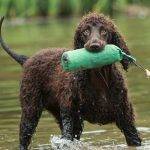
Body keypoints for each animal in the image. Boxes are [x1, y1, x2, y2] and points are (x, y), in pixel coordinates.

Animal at [0, 12, 141, 149]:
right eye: (85, 31)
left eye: (104, 31)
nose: (94, 46)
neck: (98, 79)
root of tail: (28, 59)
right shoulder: (70, 116)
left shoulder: (126, 120)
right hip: (31, 110)